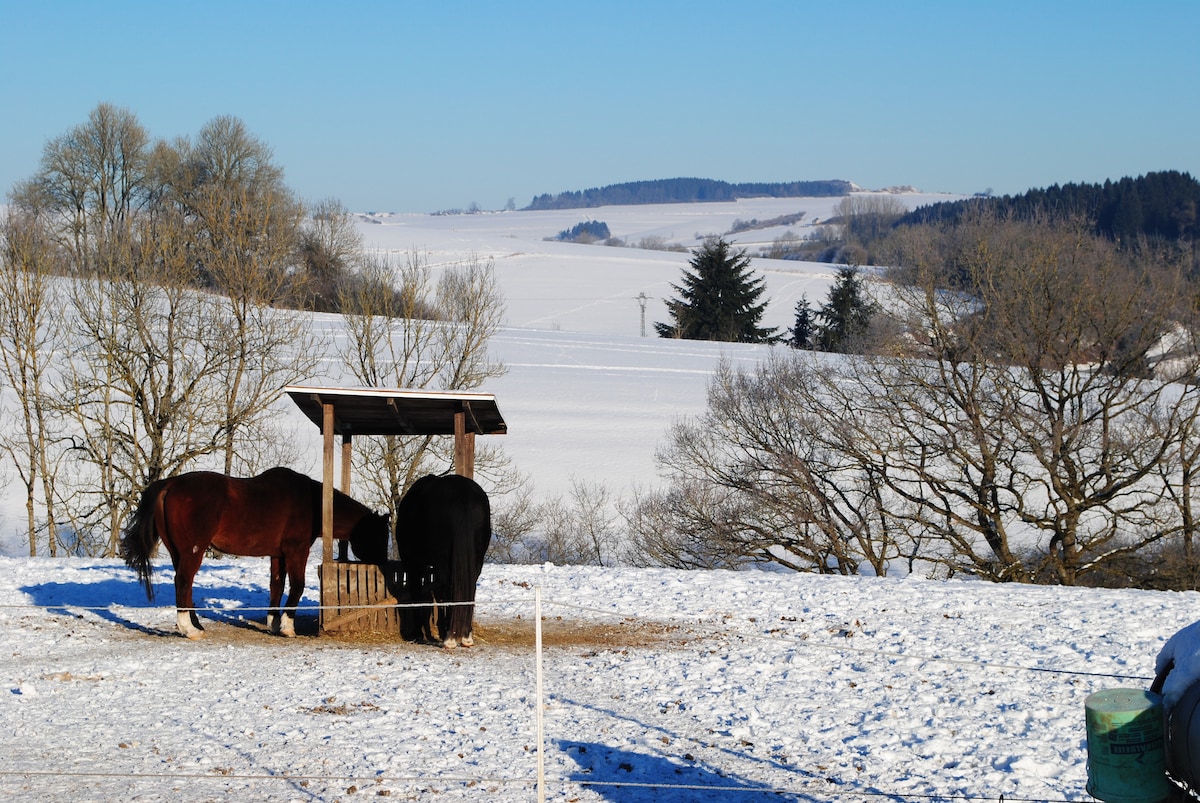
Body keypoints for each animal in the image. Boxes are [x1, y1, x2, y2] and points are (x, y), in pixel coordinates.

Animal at [119, 465, 386, 633]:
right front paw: (288, 627)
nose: (383, 565)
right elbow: (297, 585)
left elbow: (277, 585)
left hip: (178, 552)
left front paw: (274, 623)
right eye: (380, 536)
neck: (311, 504)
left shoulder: (278, 554)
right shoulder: (296, 550)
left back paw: (196, 625)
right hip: (192, 550)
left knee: (185, 585)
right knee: (183, 582)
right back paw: (188, 629)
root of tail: (170, 484)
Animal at [393, 472, 487, 648]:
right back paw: (466, 636)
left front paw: (418, 632)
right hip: (477, 560)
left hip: (442, 562)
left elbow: (419, 593)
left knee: (447, 588)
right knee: (469, 588)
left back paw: (450, 637)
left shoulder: (413, 564)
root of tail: (461, 492)